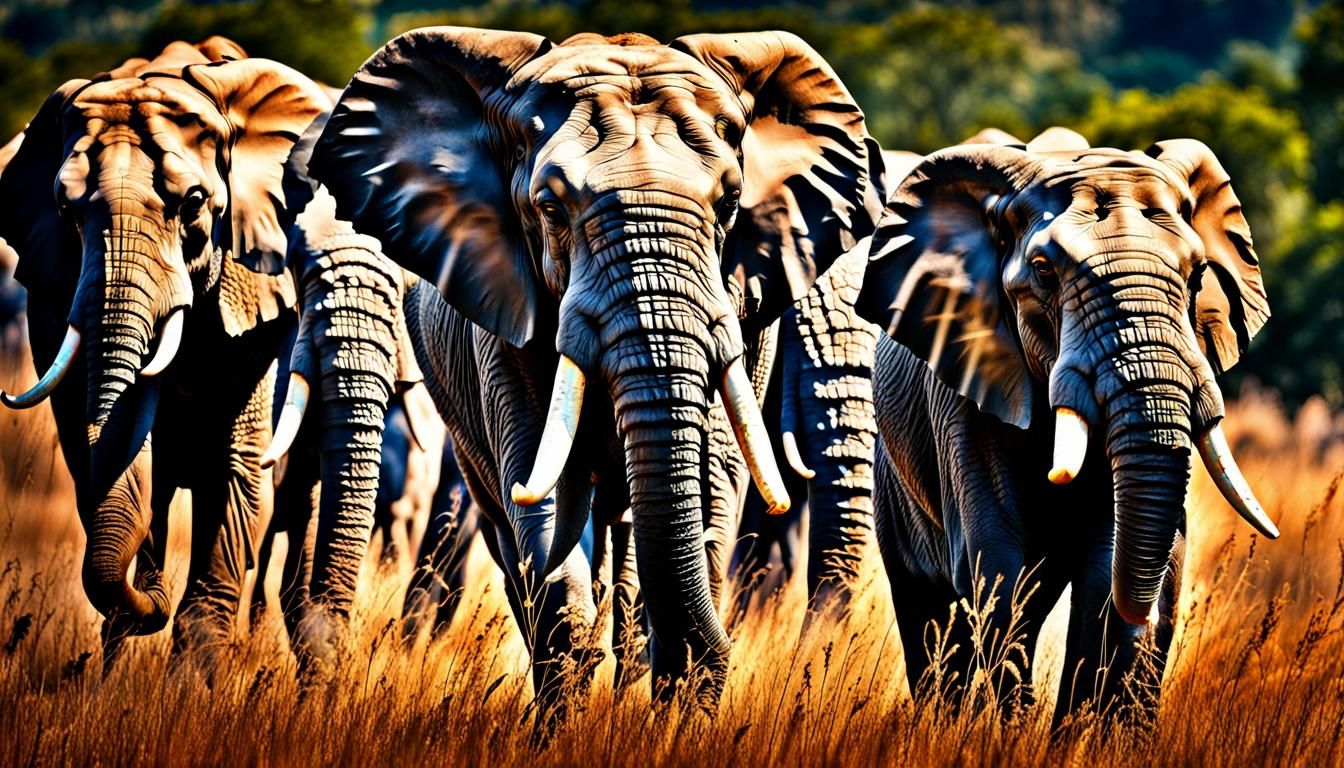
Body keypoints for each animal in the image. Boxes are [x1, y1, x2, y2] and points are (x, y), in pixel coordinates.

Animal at [0, 38, 328, 672]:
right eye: (65, 211)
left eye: (194, 203)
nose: (153, 591)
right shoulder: (52, 302)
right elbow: (107, 456)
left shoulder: (254, 295)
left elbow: (235, 466)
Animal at [304, 26, 884, 717]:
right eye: (550, 208)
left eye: (731, 202)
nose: (708, 656)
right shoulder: (505, 321)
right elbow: (542, 492)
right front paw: (572, 701)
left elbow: (710, 484)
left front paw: (672, 695)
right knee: (514, 534)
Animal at [851, 128, 1278, 723]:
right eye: (1044, 270)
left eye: (1197, 275)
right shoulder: (964, 389)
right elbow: (996, 563)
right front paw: (1010, 729)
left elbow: (1106, 573)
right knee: (933, 610)